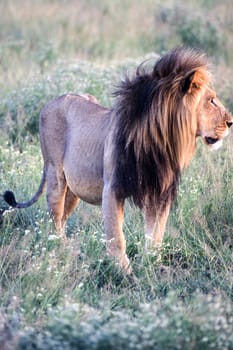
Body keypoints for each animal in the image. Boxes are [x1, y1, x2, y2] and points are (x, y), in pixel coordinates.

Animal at [3, 46, 233, 270]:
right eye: (211, 101)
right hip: (55, 175)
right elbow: (116, 235)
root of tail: (50, 102)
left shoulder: (159, 191)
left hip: (74, 189)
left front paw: (151, 264)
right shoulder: (113, 188)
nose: (231, 122)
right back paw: (60, 250)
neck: (163, 141)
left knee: (63, 217)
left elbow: (155, 234)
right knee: (55, 218)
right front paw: (123, 270)